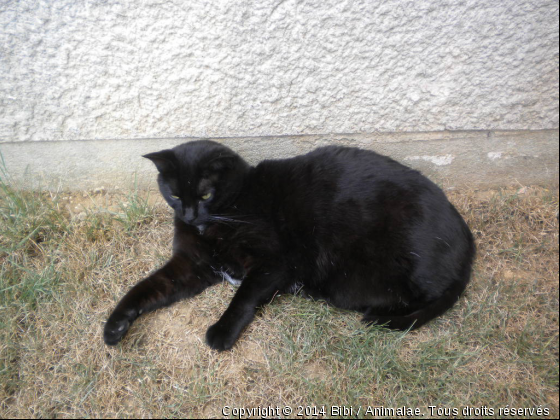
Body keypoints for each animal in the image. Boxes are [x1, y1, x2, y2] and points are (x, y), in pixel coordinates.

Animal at [103, 141, 474, 352]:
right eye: (176, 194)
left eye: (206, 194)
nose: (190, 215)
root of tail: (466, 237)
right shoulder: (190, 266)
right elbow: (145, 288)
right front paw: (115, 325)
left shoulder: (273, 262)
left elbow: (244, 297)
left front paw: (221, 333)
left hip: (364, 277)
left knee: (421, 297)